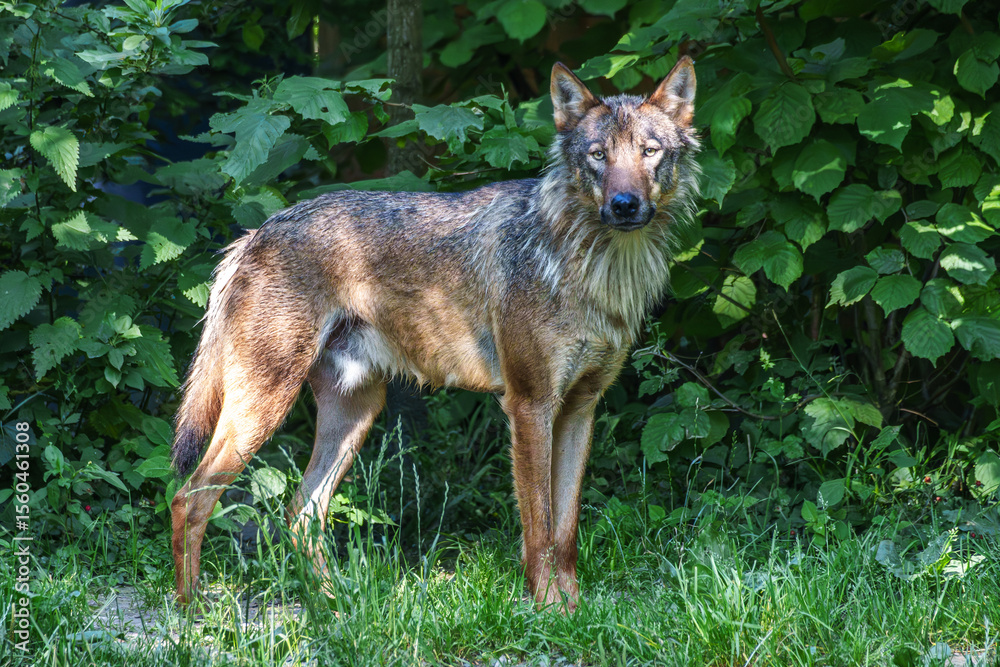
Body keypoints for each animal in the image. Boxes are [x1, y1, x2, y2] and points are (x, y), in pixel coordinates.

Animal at [171, 57, 699, 611]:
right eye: (599, 155)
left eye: (649, 151)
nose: (624, 204)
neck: (595, 267)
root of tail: (255, 234)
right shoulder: (529, 405)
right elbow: (539, 530)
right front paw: (546, 610)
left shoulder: (580, 409)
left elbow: (566, 531)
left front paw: (575, 610)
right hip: (263, 409)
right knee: (190, 498)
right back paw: (192, 612)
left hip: (356, 413)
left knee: (301, 512)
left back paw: (338, 605)